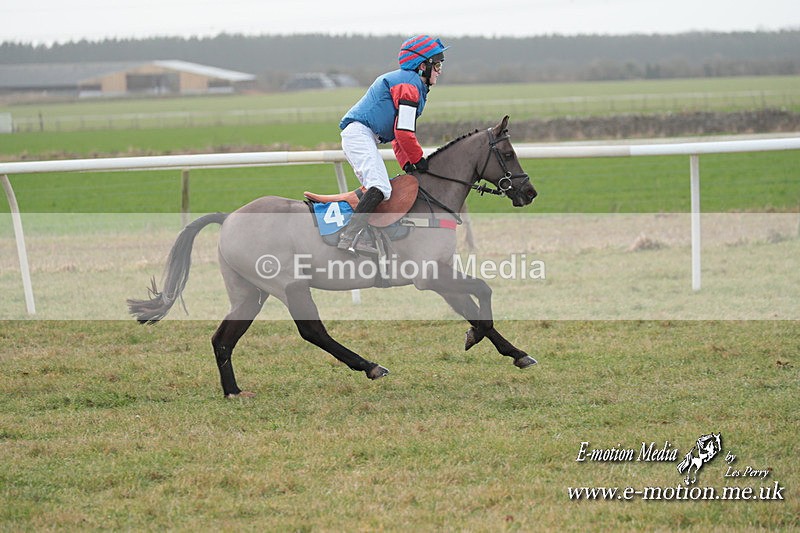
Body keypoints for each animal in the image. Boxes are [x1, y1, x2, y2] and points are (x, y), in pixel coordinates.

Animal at [128, 115, 538, 398]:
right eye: (507, 153)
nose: (529, 192)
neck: (429, 200)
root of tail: (228, 217)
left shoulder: (439, 274)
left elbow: (473, 305)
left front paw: (513, 351)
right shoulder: (430, 275)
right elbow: (483, 293)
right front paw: (479, 337)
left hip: (249, 293)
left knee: (222, 339)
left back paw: (233, 391)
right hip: (289, 285)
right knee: (312, 330)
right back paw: (369, 365)